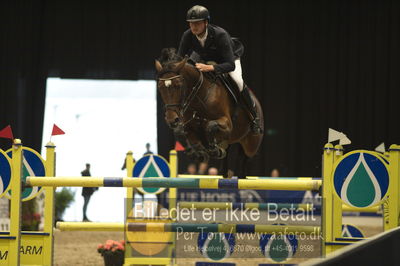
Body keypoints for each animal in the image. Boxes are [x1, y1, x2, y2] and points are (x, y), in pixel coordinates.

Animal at [155, 48, 264, 179]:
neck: (199, 97)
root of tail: (257, 103)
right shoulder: (189, 125)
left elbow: (210, 126)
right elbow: (180, 132)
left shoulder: (227, 124)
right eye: (160, 87)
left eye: (178, 86)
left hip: (251, 144)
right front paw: (198, 153)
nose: (172, 120)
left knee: (244, 160)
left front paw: (214, 150)